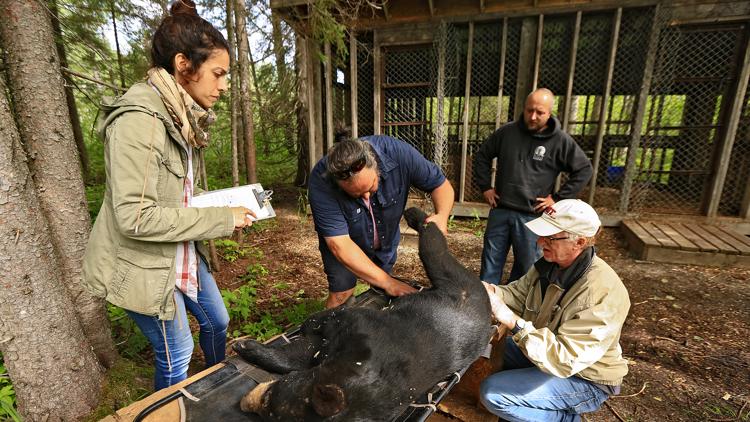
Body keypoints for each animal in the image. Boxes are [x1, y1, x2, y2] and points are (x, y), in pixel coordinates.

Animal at [234, 206, 494, 420]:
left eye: (269, 400)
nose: (244, 403)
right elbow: (308, 350)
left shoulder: (363, 332)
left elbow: (321, 330)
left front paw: (245, 345)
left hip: (458, 283)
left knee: (435, 251)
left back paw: (416, 215)